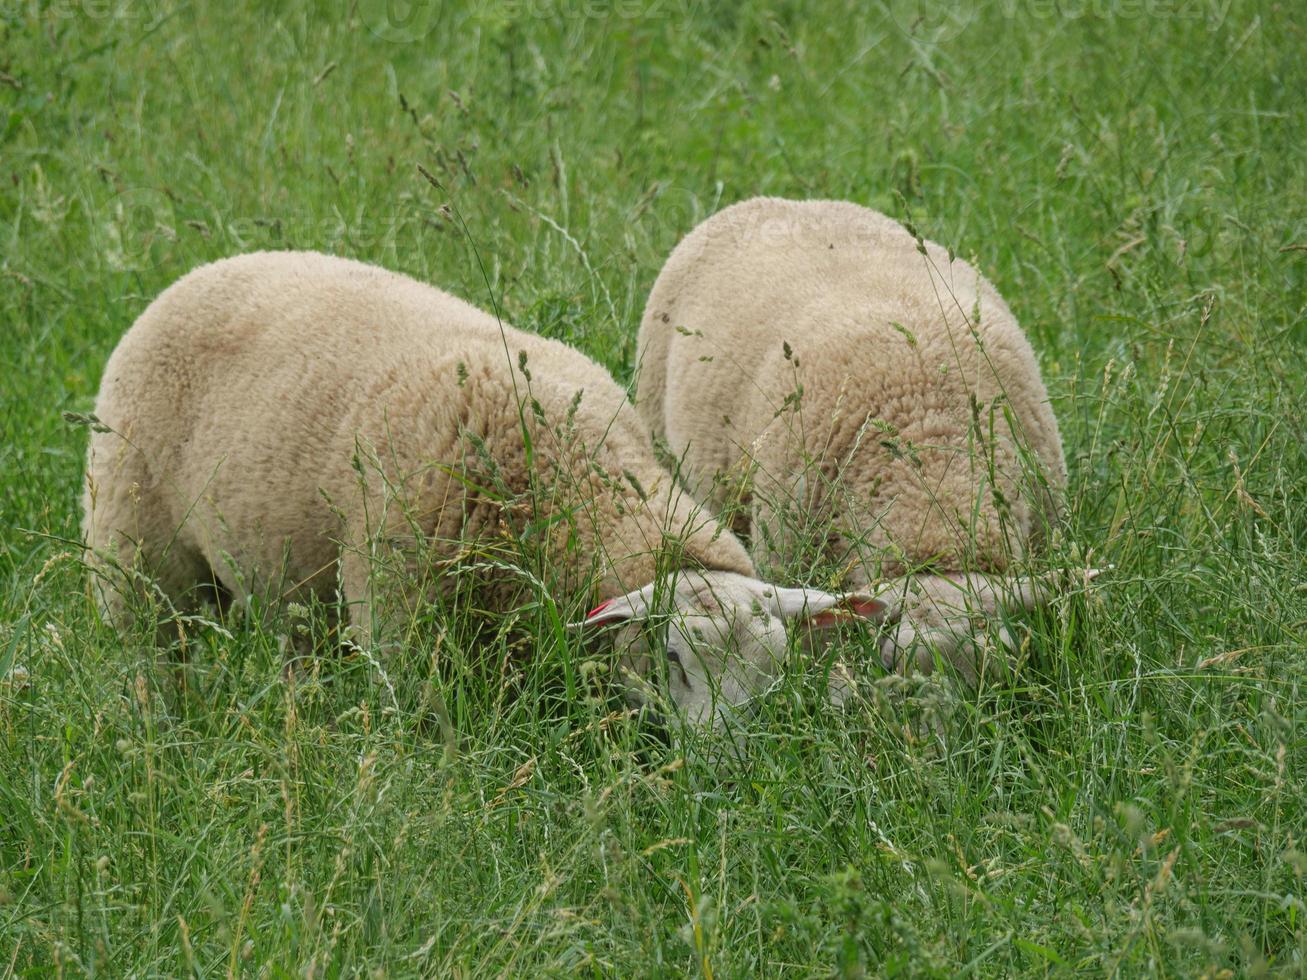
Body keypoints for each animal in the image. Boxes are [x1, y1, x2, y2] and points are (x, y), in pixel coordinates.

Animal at [84, 253, 878, 731]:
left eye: (774, 667)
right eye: (676, 659)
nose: (731, 759)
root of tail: (209, 268)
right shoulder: (403, 627)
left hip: (294, 588)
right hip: (135, 555)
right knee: (154, 662)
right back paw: (163, 736)